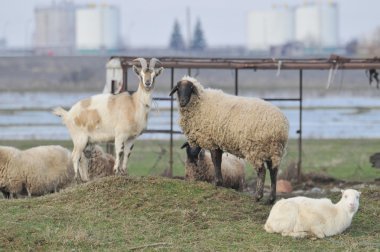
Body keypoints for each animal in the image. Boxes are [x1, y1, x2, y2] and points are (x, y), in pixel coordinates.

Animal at [169, 76, 288, 204]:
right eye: (178, 88)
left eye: (190, 88)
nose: (182, 102)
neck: (200, 103)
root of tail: (280, 127)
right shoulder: (217, 142)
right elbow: (218, 160)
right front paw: (219, 182)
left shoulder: (212, 140)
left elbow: (215, 161)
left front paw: (216, 183)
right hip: (273, 149)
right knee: (273, 171)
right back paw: (271, 199)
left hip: (256, 148)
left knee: (262, 171)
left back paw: (258, 196)